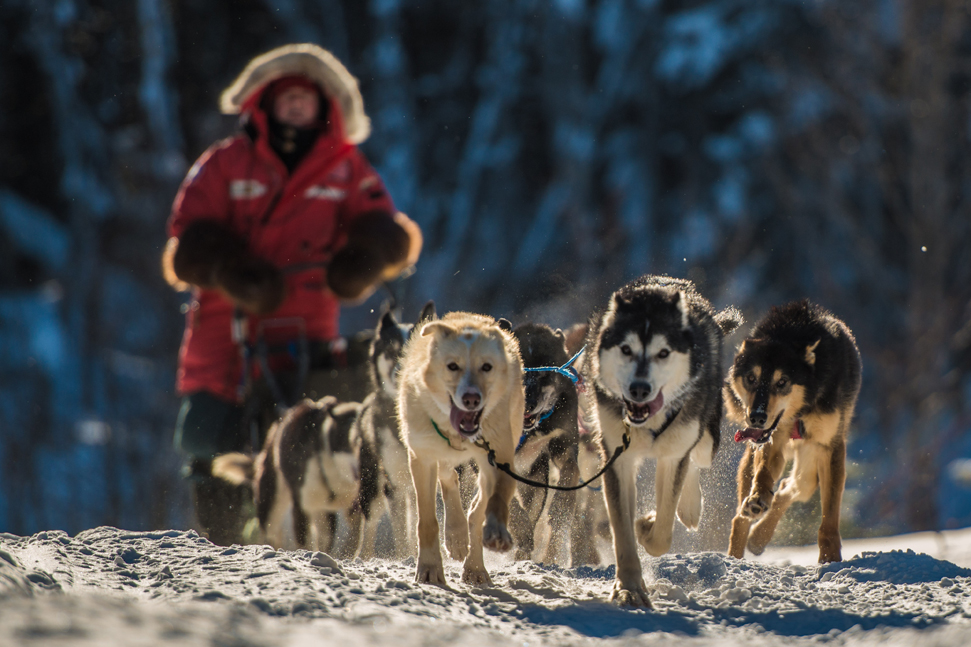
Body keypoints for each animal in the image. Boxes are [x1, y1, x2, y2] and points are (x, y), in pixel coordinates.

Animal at [344, 302, 430, 560]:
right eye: (391, 351)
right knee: (370, 523)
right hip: (374, 485)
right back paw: (364, 557)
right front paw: (405, 559)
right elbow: (400, 532)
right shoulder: (394, 485)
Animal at [396, 312, 524, 588]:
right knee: (449, 477)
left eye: (486, 367)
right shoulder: (422, 457)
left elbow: (495, 499)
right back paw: (455, 534)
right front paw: (430, 568)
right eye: (452, 366)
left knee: (476, 510)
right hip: (436, 450)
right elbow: (427, 521)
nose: (471, 398)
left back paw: (474, 564)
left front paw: (495, 529)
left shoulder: (499, 456)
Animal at [584, 274, 744, 608]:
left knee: (695, 460)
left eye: (663, 353)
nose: (639, 389)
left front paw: (647, 526)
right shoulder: (617, 458)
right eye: (626, 349)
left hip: (706, 434)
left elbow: (662, 534)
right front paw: (629, 588)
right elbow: (622, 533)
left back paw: (690, 507)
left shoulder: (673, 454)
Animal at [724, 302, 860, 564]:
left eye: (782, 382)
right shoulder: (773, 440)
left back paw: (758, 539)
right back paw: (736, 554)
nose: (757, 417)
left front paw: (830, 558)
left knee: (796, 484)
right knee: (739, 518)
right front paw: (758, 498)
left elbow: (830, 514)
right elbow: (763, 474)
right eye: (751, 378)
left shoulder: (830, 447)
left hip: (810, 461)